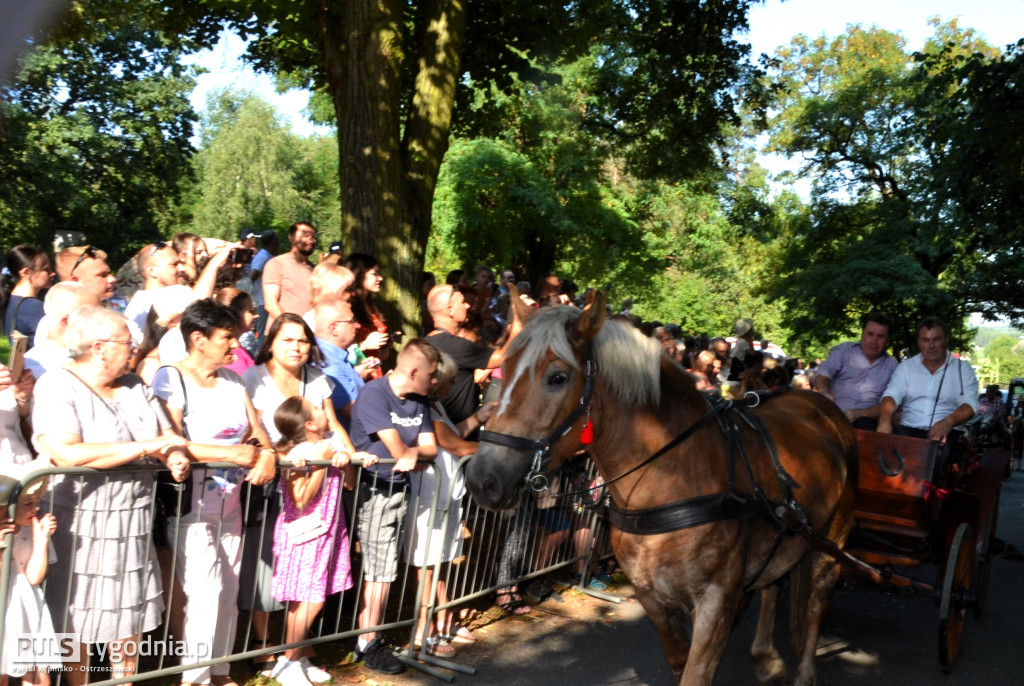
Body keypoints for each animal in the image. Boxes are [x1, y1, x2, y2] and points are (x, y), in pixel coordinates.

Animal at [468, 290, 860, 686]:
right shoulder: (653, 598)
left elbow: (696, 671)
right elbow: (678, 659)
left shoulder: (716, 603)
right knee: (773, 585)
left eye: (557, 377)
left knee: (815, 604)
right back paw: (767, 657)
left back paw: (804, 672)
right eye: (503, 367)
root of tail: (821, 406)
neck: (671, 478)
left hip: (831, 544)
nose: (482, 479)